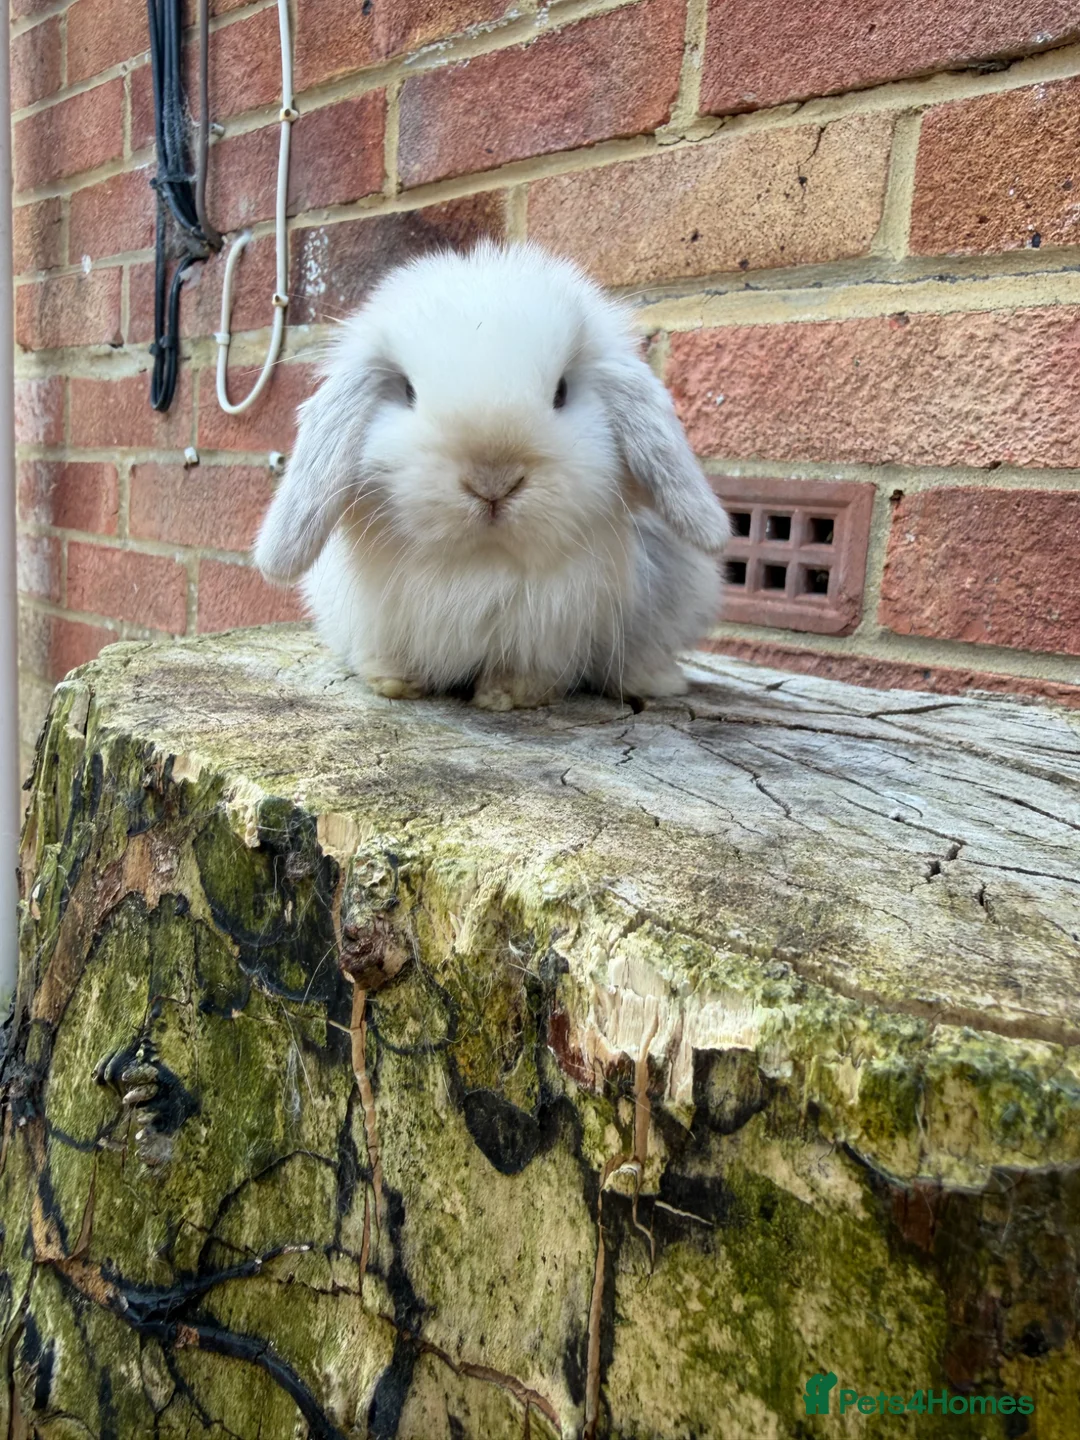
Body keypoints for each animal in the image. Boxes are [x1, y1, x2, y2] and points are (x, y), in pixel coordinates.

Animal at [254, 241, 729, 711]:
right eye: (408, 392)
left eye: (561, 393)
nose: (493, 484)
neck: (482, 561)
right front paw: (394, 681)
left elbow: (531, 670)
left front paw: (507, 694)